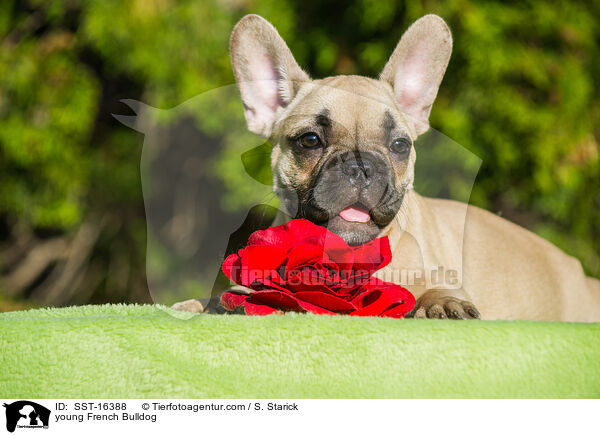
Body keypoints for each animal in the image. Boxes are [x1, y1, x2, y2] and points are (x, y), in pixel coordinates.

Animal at [171, 14, 596, 320]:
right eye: (310, 140)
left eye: (399, 146)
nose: (361, 165)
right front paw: (201, 304)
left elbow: (436, 287)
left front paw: (441, 302)